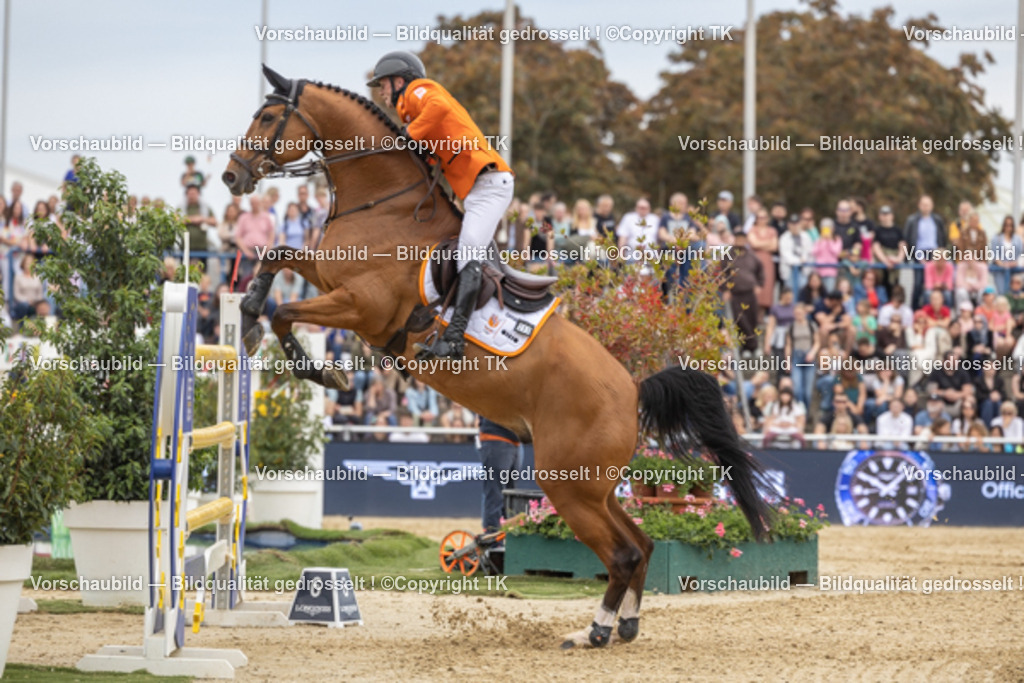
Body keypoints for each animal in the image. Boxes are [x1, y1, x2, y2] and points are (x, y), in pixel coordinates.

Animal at [222, 65, 774, 648]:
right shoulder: (329, 277)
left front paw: (315, 368)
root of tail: (632, 388)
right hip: (593, 487)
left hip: (568, 486)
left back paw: (594, 632)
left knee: (622, 554)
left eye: (266, 117)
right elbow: (277, 255)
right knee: (641, 545)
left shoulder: (359, 306)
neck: (384, 204)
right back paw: (624, 624)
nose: (232, 178)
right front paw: (252, 310)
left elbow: (287, 311)